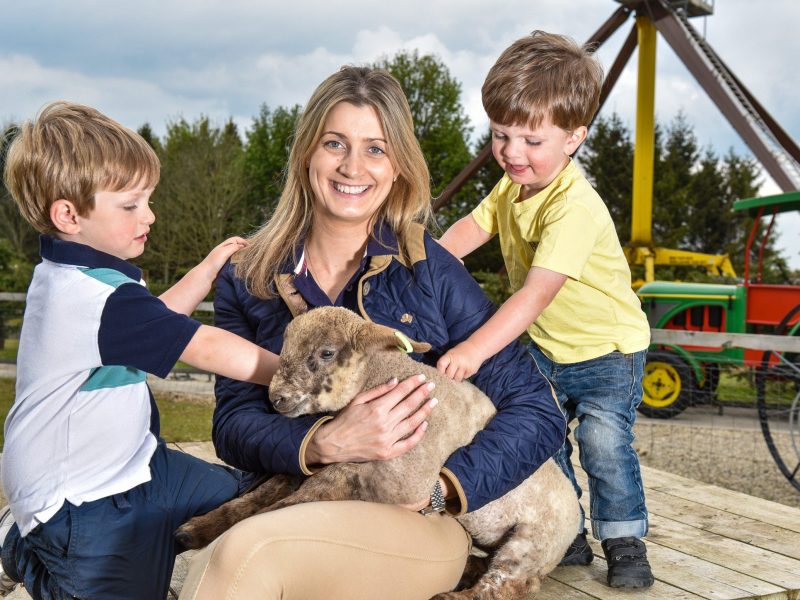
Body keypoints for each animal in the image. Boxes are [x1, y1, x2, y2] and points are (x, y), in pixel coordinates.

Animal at [175, 308, 580, 596]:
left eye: (325, 353)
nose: (277, 399)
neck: (382, 374)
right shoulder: (317, 458)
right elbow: (263, 492)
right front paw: (195, 530)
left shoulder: (404, 479)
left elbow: (313, 490)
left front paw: (235, 529)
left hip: (533, 542)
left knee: (509, 584)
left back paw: (454, 596)